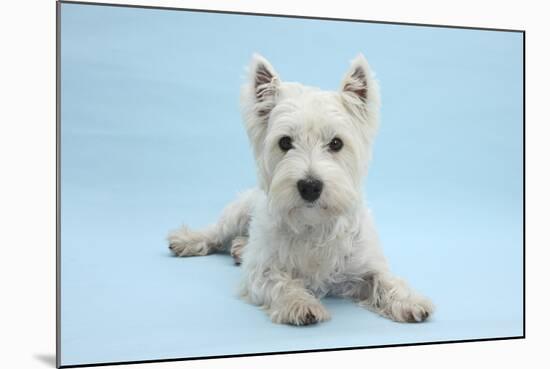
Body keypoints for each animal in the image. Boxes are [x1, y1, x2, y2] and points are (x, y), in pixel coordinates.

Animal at [168, 54, 436, 324]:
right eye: (285, 142)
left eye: (336, 143)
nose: (310, 186)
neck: (313, 223)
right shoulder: (261, 271)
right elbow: (280, 282)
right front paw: (300, 303)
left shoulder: (366, 265)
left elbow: (387, 280)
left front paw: (410, 301)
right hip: (239, 211)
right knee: (216, 231)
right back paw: (188, 240)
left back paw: (239, 247)